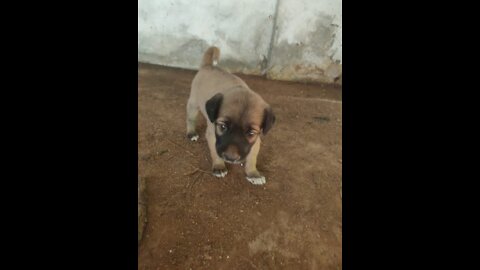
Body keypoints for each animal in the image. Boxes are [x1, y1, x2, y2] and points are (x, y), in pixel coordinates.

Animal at [188, 47, 278, 186]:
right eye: (223, 127)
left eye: (251, 133)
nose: (230, 158)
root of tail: (208, 66)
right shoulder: (213, 135)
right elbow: (216, 153)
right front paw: (219, 166)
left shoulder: (255, 142)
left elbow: (252, 159)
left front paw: (253, 173)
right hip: (193, 104)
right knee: (190, 119)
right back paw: (191, 133)